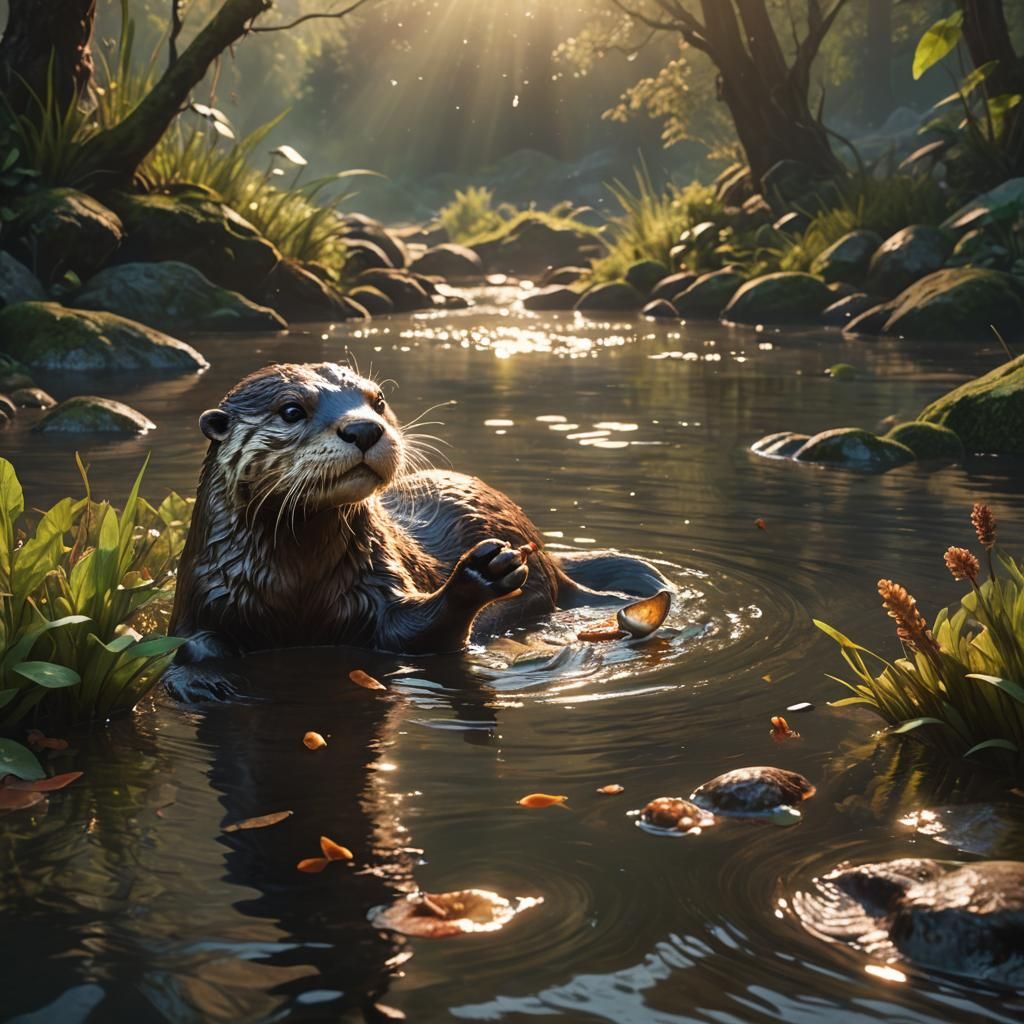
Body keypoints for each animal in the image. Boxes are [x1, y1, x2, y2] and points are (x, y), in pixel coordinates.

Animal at [166, 361, 666, 700]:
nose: (364, 427)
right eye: (291, 410)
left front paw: (482, 572)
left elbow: (412, 633)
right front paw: (204, 680)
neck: (298, 590)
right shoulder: (203, 591)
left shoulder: (379, 581)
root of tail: (544, 549)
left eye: (378, 401)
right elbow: (188, 644)